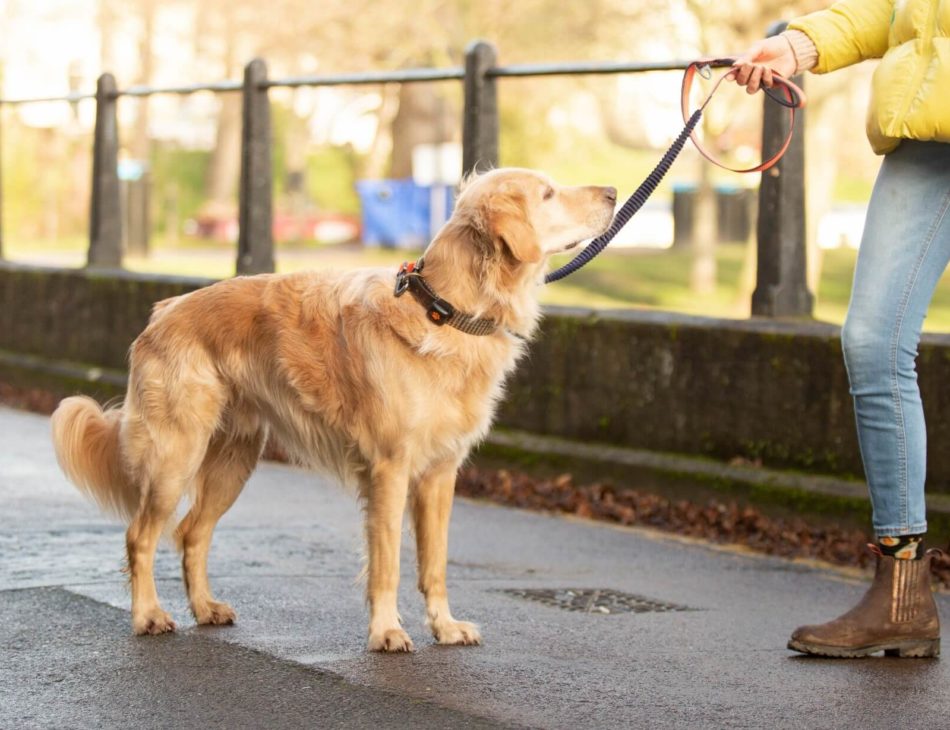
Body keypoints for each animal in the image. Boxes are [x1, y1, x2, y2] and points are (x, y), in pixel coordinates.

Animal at [52, 168, 616, 652]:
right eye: (547, 193)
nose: (613, 191)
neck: (444, 312)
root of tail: (163, 312)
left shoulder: (440, 475)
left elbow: (433, 565)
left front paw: (445, 627)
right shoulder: (390, 471)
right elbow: (387, 564)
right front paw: (386, 632)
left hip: (234, 462)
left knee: (191, 533)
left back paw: (205, 608)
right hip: (176, 457)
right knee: (140, 536)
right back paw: (148, 615)